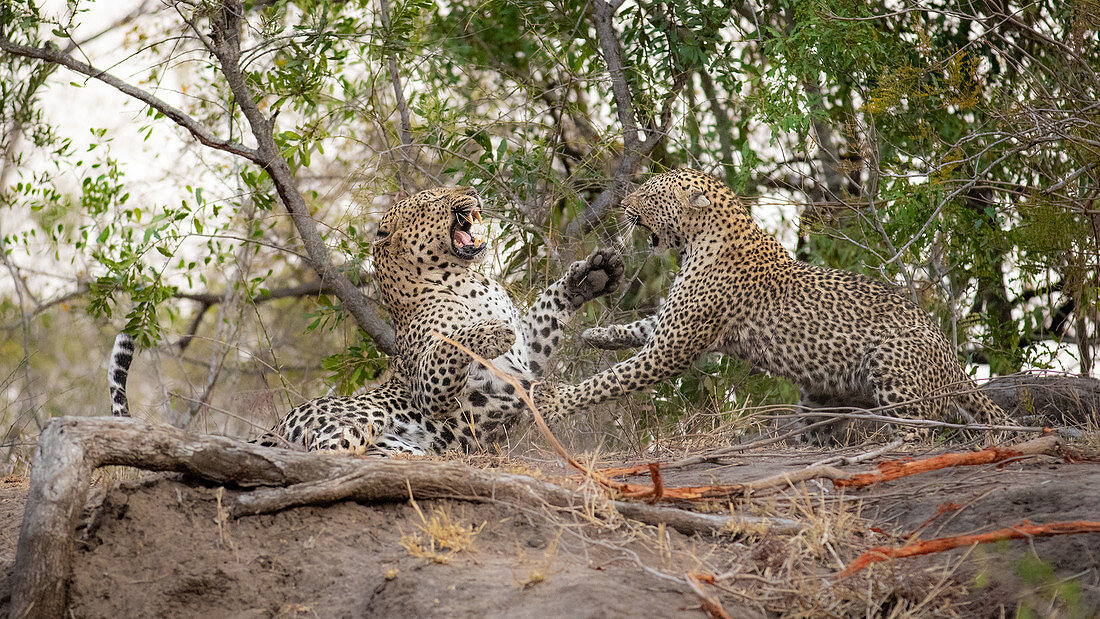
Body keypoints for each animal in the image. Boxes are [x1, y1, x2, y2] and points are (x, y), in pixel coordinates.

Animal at [111, 185, 629, 455]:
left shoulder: (528, 355)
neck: (469, 279)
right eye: (435, 197)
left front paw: (594, 273)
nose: (472, 192)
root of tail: (272, 429)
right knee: (327, 452)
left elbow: (546, 312)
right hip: (355, 418)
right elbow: (451, 344)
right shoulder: (437, 389)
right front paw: (485, 333)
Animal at [532, 167, 1012, 444]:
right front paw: (596, 335)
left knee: (925, 430)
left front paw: (555, 404)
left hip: (894, 370)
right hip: (820, 396)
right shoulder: (672, 326)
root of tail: (952, 360)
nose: (625, 206)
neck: (698, 241)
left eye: (650, 198)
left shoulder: (674, 346)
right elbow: (637, 329)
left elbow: (608, 381)